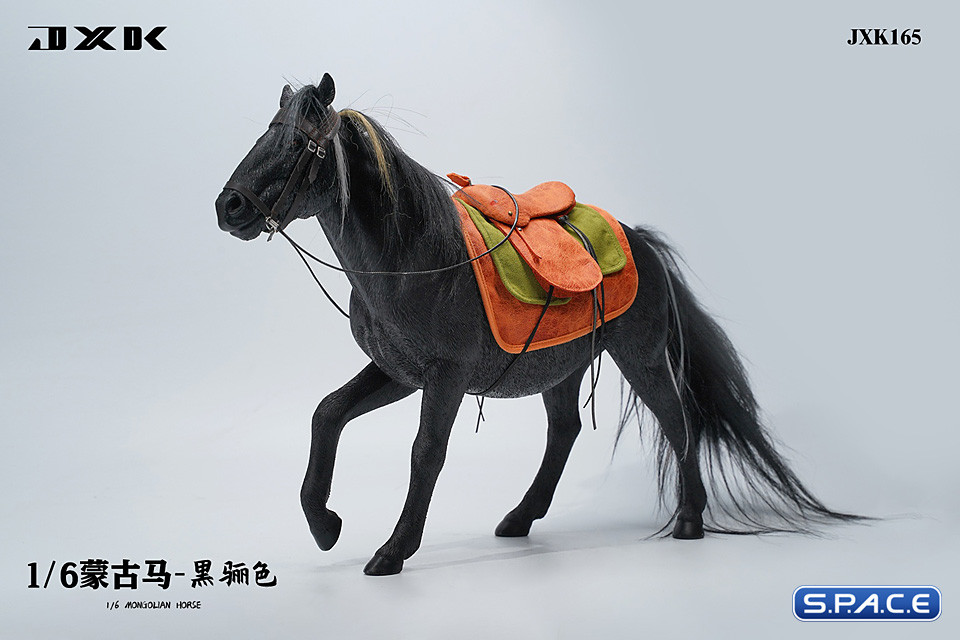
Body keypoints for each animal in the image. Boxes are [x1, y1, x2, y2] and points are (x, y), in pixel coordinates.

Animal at [215, 74, 859, 575]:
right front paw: (324, 524)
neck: (412, 257)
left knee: (677, 419)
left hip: (641, 355)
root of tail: (640, 241)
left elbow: (426, 452)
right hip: (564, 363)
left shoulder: (444, 378)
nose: (230, 206)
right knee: (565, 430)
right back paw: (522, 517)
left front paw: (393, 551)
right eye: (264, 132)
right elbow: (327, 413)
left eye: (298, 143)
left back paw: (688, 520)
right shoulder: (398, 371)